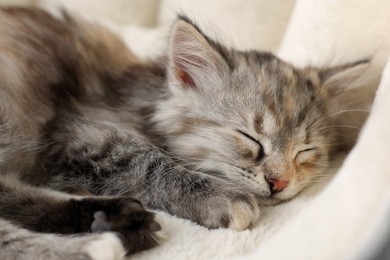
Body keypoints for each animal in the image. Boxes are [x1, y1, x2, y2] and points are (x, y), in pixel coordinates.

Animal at [0, 6, 366, 260]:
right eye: (250, 138)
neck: (147, 97)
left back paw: (120, 221)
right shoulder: (79, 133)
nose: (279, 183)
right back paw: (94, 245)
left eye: (304, 151)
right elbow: (148, 163)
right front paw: (220, 196)